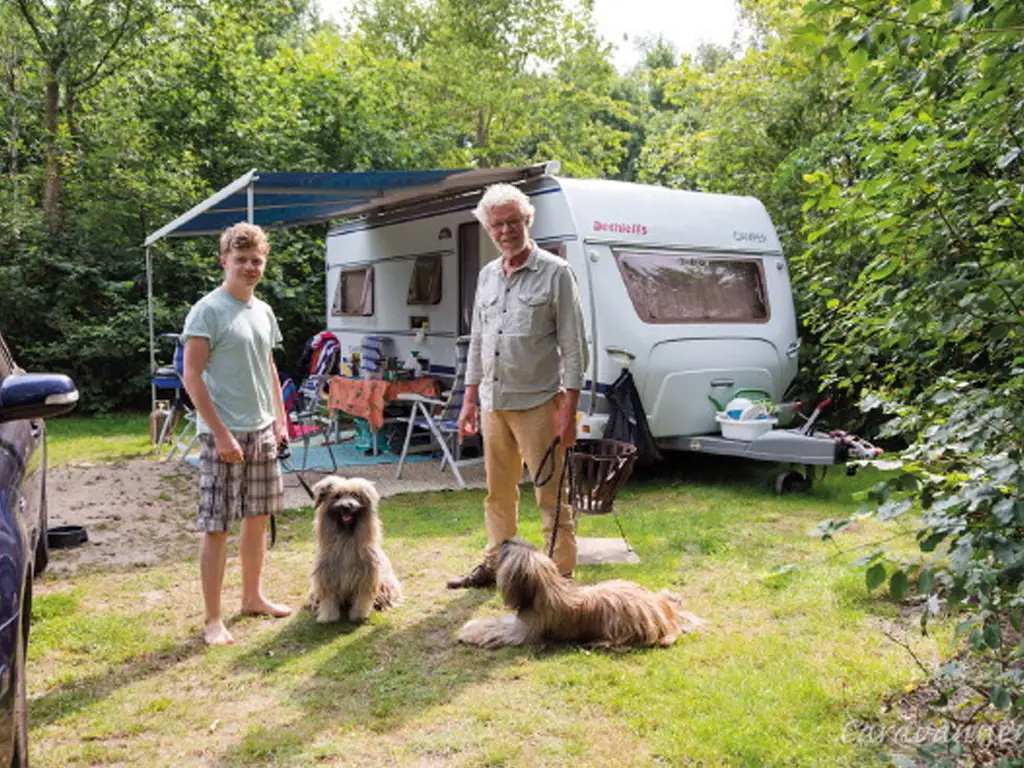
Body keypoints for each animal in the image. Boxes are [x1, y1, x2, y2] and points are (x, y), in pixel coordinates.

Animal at [305, 475, 401, 626]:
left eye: (355, 495)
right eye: (337, 496)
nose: (346, 506)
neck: (346, 537)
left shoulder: (365, 577)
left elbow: (362, 600)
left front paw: (358, 615)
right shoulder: (327, 576)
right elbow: (328, 600)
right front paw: (328, 616)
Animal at [458, 536, 704, 651]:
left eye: (508, 553)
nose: (505, 540)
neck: (545, 590)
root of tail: (667, 612)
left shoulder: (523, 633)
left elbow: (497, 632)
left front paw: (469, 633)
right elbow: (496, 622)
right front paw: (473, 626)